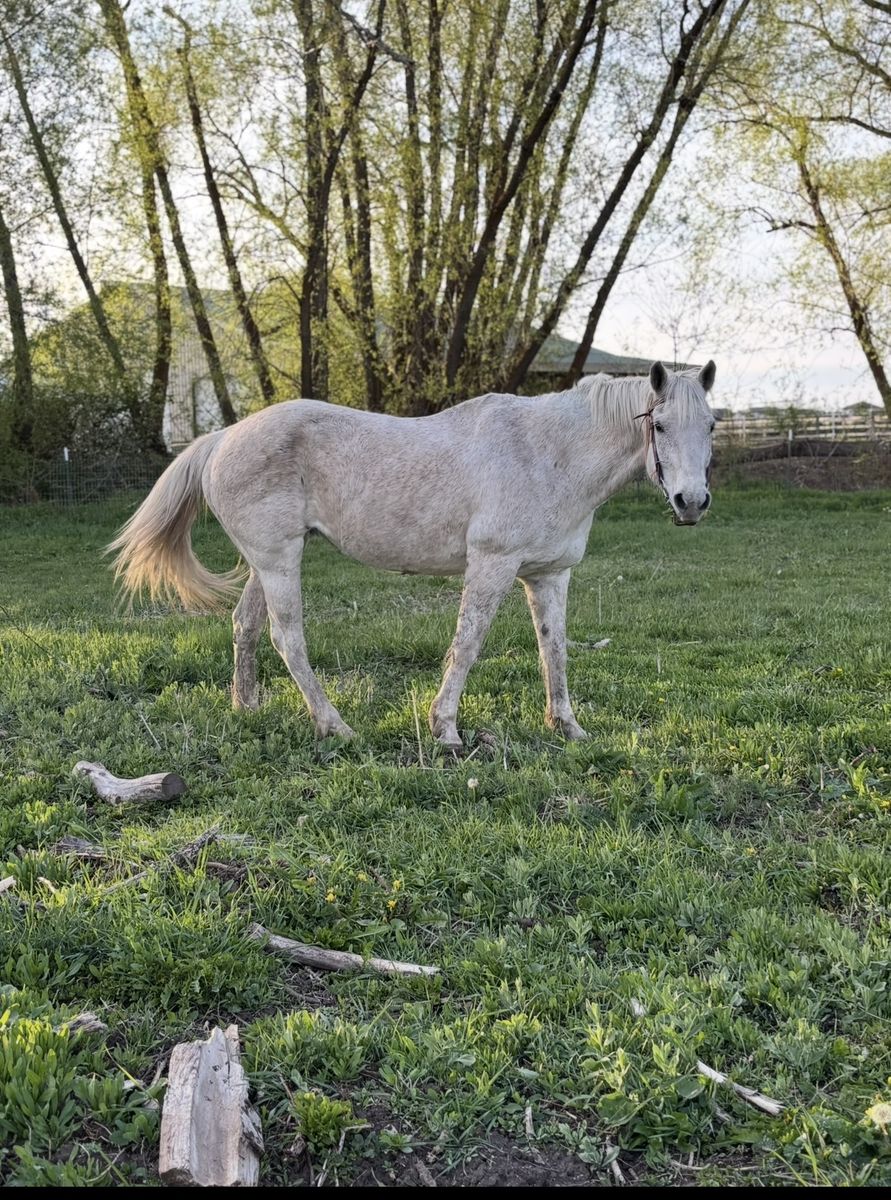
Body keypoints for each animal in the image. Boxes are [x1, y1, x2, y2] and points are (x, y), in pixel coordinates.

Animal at [109, 360, 716, 748]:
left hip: (267, 563)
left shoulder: (549, 575)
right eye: (661, 425)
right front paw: (444, 729)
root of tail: (223, 438)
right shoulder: (492, 565)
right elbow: (467, 645)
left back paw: (247, 709)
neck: (547, 453)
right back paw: (335, 726)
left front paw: (567, 728)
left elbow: (555, 652)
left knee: (246, 626)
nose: (691, 502)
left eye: (711, 425)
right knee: (288, 638)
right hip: (279, 562)